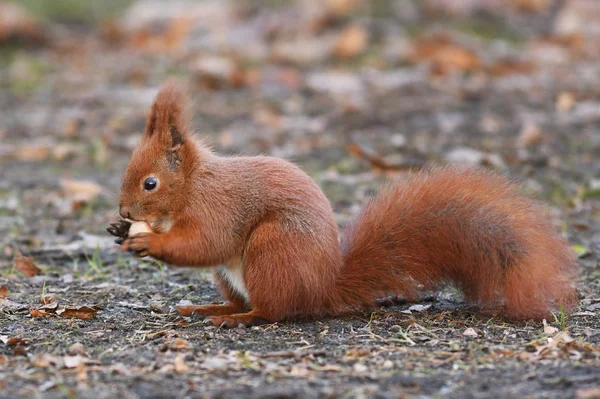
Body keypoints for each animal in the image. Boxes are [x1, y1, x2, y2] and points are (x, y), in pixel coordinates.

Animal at [108, 81, 580, 328]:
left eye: (150, 183)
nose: (126, 213)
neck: (191, 185)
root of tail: (323, 287)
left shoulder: (218, 208)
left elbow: (205, 243)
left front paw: (149, 242)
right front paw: (119, 232)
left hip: (272, 249)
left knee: (273, 311)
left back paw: (236, 319)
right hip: (233, 274)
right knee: (244, 301)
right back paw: (210, 307)